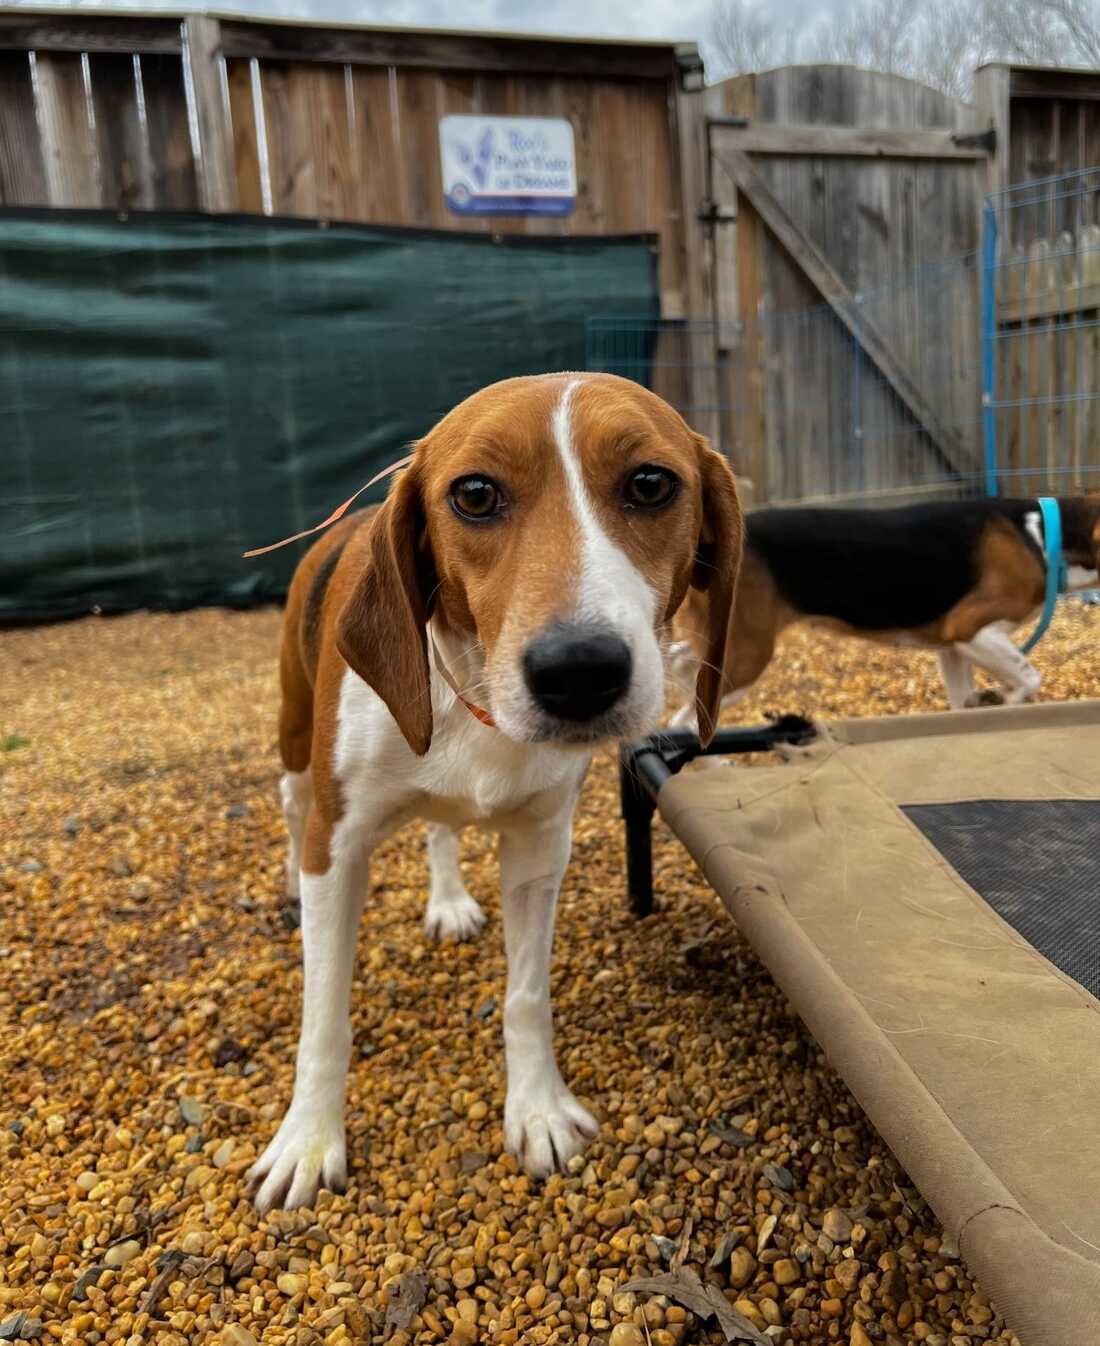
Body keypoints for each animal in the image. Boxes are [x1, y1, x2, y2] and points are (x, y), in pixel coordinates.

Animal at [247, 374, 743, 1216]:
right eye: (474, 494)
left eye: (650, 483)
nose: (578, 670)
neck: (474, 700)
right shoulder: (337, 847)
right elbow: (323, 1018)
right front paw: (309, 1140)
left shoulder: (541, 847)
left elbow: (526, 999)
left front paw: (537, 1110)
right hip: (292, 746)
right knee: (289, 811)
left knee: (440, 830)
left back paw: (447, 899)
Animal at [659, 495, 1098, 726]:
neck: (1042, 534)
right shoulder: (971, 630)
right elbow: (1029, 677)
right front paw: (1007, 703)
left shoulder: (952, 650)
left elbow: (963, 703)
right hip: (747, 653)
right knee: (686, 722)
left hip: (722, 640)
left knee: (680, 665)